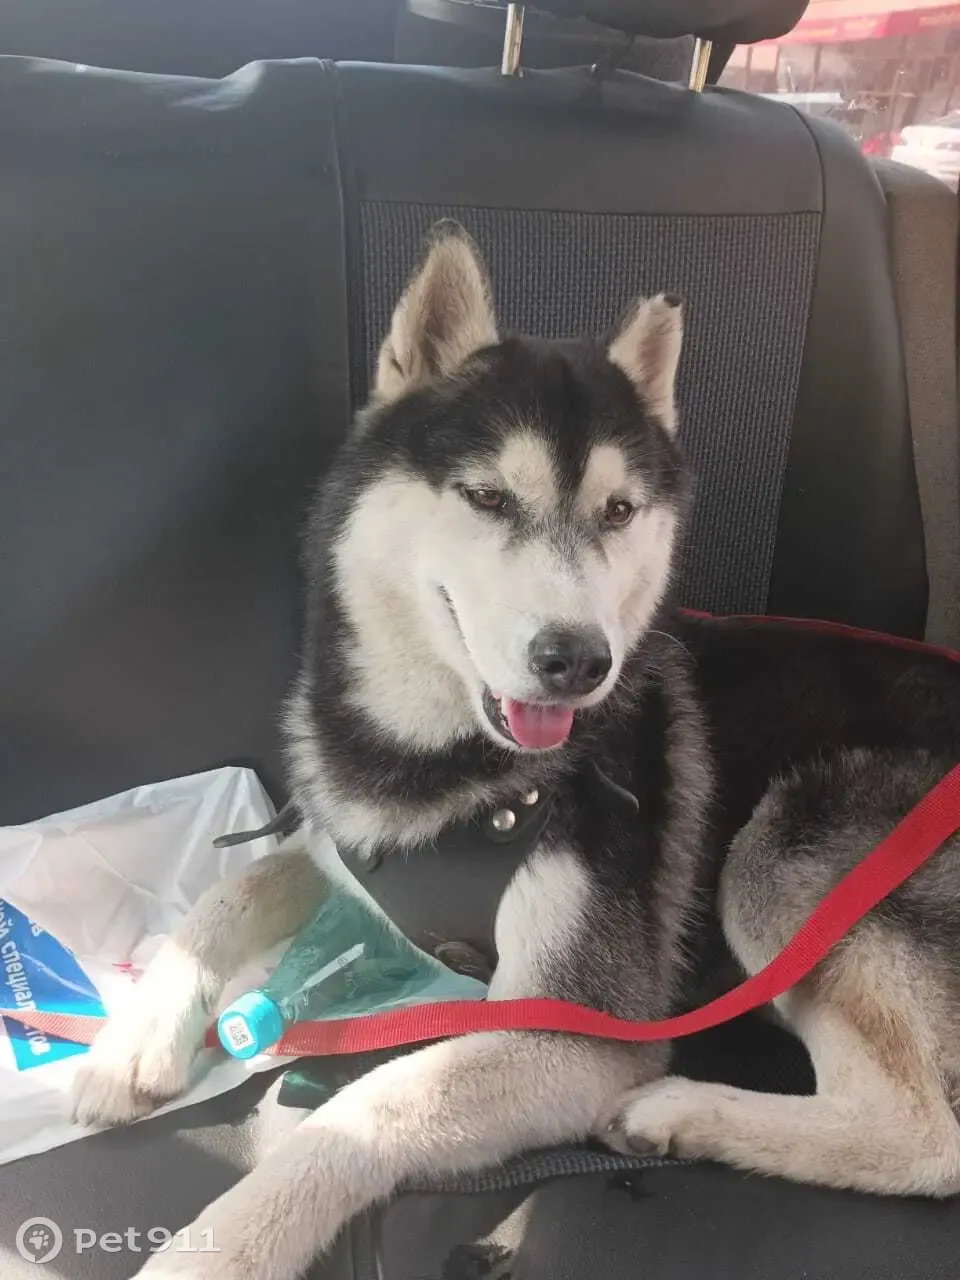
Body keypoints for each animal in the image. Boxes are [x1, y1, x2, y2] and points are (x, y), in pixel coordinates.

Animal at [70, 222, 960, 1279]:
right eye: (487, 497)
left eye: (619, 512)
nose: (577, 660)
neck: (443, 768)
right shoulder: (346, 841)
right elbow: (229, 892)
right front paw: (131, 1038)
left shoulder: (579, 1031)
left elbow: (375, 1105)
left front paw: (223, 1245)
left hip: (786, 851)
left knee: (924, 1136)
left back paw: (683, 1111)